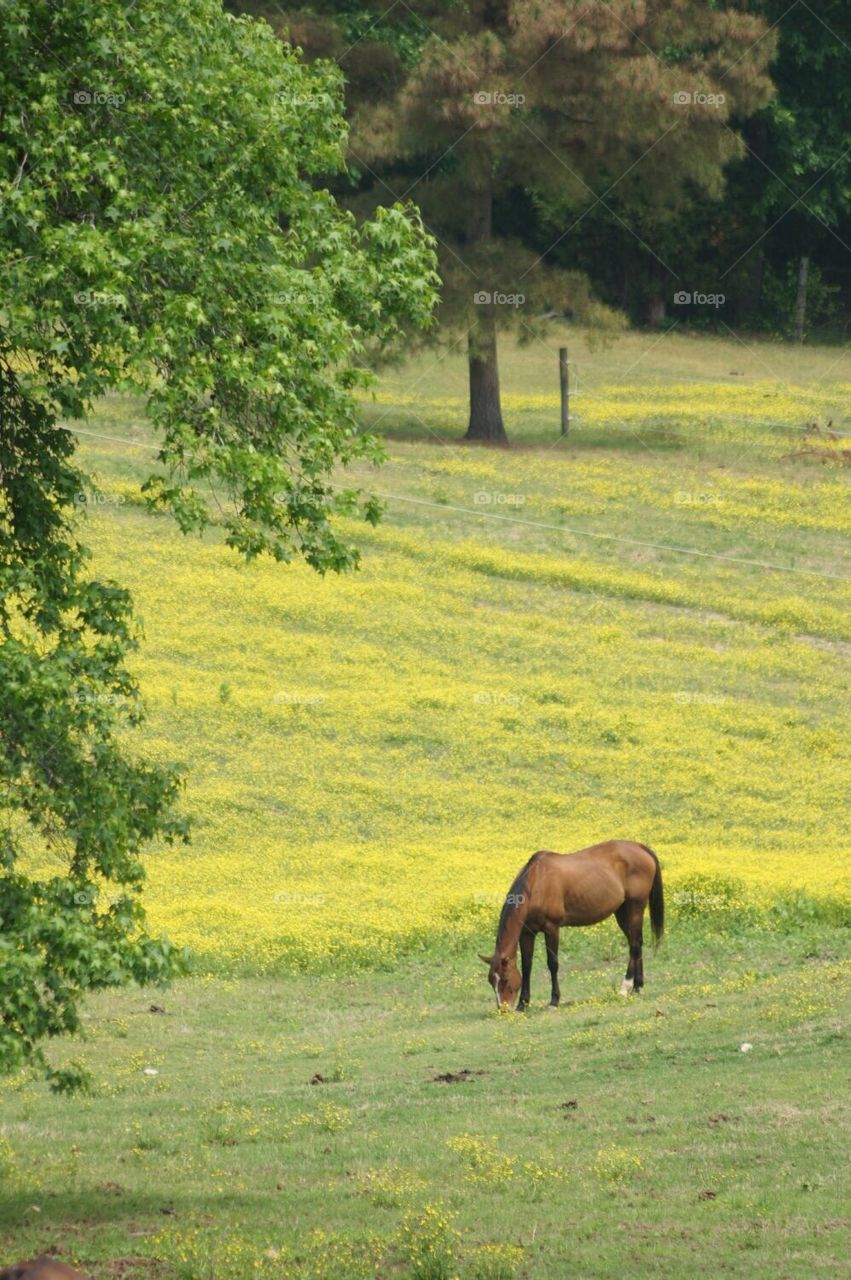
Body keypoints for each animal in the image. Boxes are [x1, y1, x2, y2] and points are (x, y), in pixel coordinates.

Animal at [479, 840, 664, 1011]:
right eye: (491, 981)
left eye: (505, 979)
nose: (503, 1009)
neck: (536, 882)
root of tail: (640, 847)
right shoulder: (527, 933)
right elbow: (527, 966)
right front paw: (523, 1004)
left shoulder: (551, 928)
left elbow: (552, 963)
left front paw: (554, 1001)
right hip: (622, 912)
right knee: (637, 942)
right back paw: (638, 985)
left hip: (635, 907)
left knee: (634, 946)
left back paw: (626, 988)